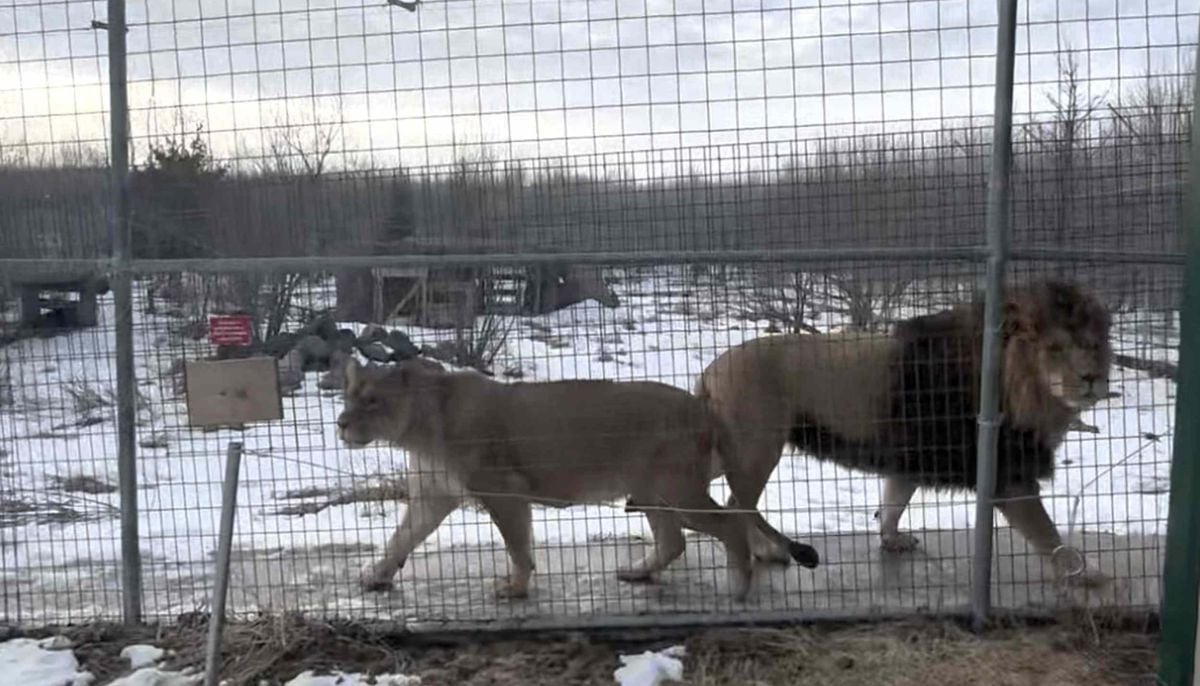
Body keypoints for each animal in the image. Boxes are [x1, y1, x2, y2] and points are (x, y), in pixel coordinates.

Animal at [336, 357, 820, 601]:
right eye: (348, 395)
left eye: (373, 400)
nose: (339, 424)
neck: (419, 429)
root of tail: (704, 406)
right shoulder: (432, 496)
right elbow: (400, 538)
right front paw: (375, 576)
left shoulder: (503, 491)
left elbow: (517, 545)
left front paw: (514, 588)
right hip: (650, 490)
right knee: (673, 542)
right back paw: (637, 573)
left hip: (676, 487)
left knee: (729, 524)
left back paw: (738, 587)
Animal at [695, 279, 1113, 586]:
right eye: (1055, 348)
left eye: (1093, 345)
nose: (1092, 378)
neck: (1024, 388)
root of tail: (710, 369)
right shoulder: (1009, 472)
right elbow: (1048, 533)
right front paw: (1084, 571)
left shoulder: (911, 456)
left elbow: (894, 502)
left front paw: (892, 539)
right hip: (757, 448)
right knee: (737, 503)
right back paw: (763, 552)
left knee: (733, 501)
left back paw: (762, 551)